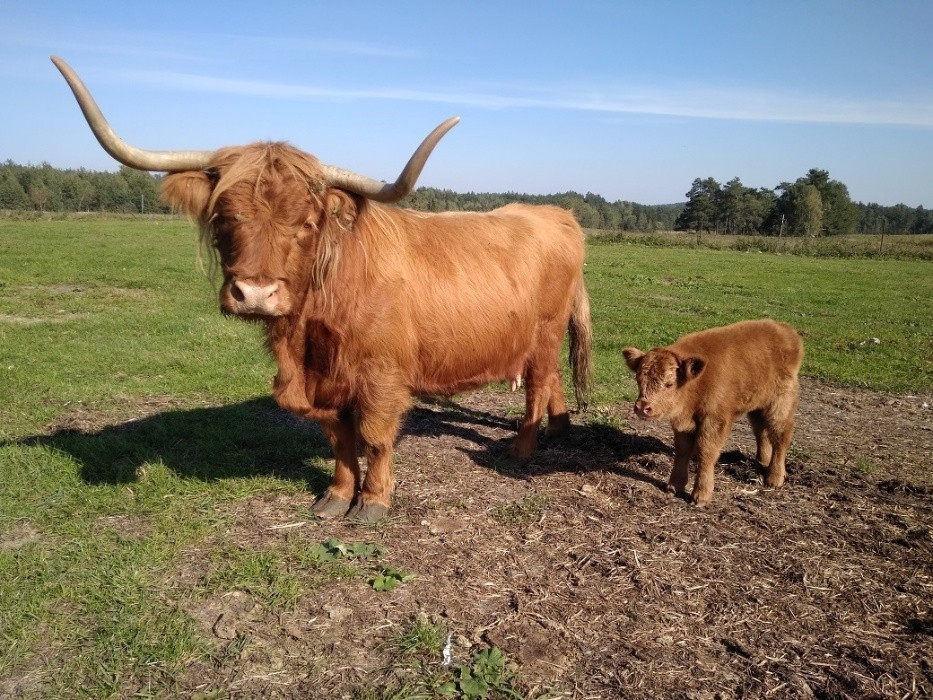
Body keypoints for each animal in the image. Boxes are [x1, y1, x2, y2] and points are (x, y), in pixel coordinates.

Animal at [52, 56, 593, 521]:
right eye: (226, 216)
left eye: (307, 223)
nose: (255, 294)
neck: (310, 332)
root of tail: (557, 215)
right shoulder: (322, 384)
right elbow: (338, 438)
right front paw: (334, 497)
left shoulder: (382, 377)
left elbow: (374, 436)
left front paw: (373, 501)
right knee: (551, 381)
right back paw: (560, 428)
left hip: (545, 329)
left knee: (540, 382)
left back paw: (522, 449)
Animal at [622, 319, 803, 506]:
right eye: (638, 379)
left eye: (669, 384)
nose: (642, 407)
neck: (697, 383)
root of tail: (785, 329)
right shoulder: (683, 425)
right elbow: (682, 450)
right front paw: (674, 486)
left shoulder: (715, 420)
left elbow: (706, 452)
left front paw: (701, 495)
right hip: (757, 404)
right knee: (761, 430)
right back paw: (762, 461)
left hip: (780, 404)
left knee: (780, 436)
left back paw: (774, 478)